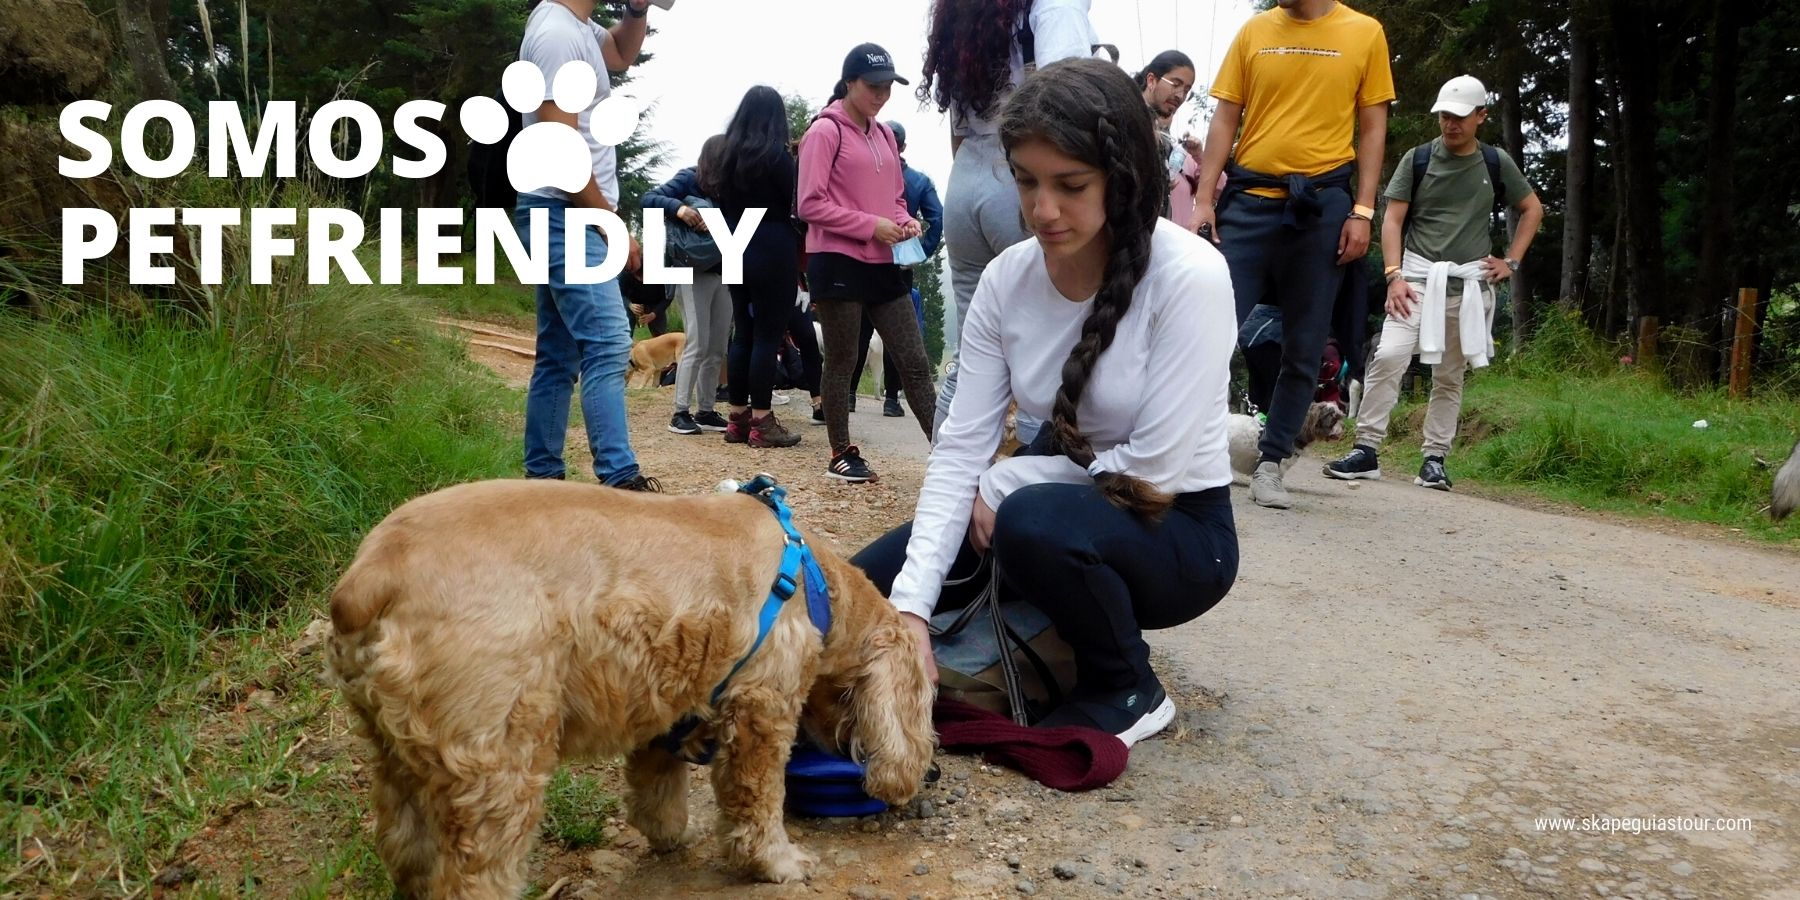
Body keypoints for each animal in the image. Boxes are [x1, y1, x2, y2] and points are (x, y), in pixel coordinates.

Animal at [329, 478, 936, 892]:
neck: (815, 583)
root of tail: (367, 578)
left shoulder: (667, 700)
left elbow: (656, 786)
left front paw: (668, 833)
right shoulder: (761, 708)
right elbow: (758, 802)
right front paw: (778, 863)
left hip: (398, 757)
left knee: (405, 848)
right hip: (498, 766)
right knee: (472, 877)